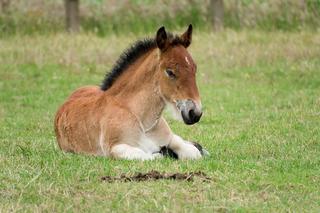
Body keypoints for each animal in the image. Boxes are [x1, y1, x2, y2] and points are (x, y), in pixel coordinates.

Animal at [53, 25, 206, 160]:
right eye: (170, 72)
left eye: (194, 69)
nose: (195, 113)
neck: (143, 122)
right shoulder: (116, 148)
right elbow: (152, 156)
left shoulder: (171, 138)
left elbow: (192, 152)